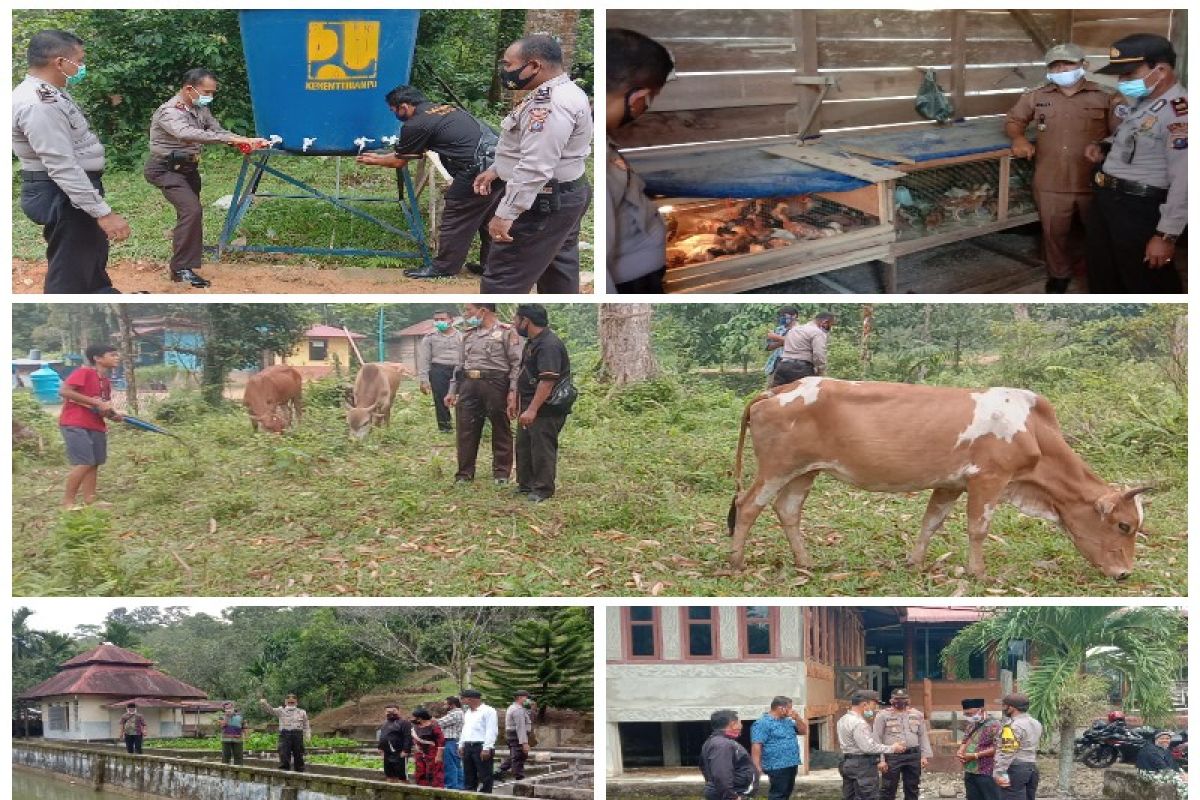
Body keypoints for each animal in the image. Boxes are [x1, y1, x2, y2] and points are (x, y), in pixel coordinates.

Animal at [724, 379, 1147, 578]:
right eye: (1124, 525)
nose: (1124, 574)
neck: (1032, 430)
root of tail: (774, 390)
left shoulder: (950, 483)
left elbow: (931, 523)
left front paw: (914, 562)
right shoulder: (989, 479)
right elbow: (978, 528)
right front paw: (977, 572)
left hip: (804, 471)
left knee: (787, 510)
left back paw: (806, 561)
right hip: (776, 467)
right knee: (748, 506)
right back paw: (737, 561)